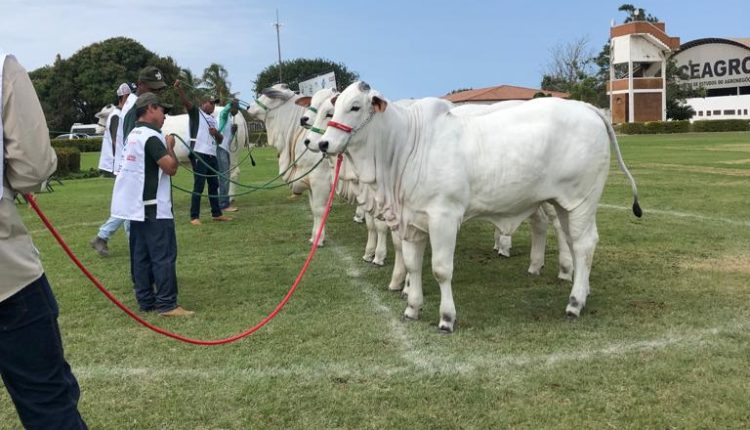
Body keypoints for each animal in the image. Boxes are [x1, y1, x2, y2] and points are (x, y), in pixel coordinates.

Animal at [247, 84, 334, 245]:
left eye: (269, 95)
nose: (248, 106)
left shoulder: (320, 179)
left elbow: (320, 209)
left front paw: (318, 240)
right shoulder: (308, 180)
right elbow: (313, 208)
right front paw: (313, 237)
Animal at [316, 82, 640, 334]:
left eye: (354, 107)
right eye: (336, 106)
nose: (323, 143)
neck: (406, 146)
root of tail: (588, 108)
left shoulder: (444, 217)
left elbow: (441, 269)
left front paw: (446, 318)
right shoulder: (412, 221)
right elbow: (412, 264)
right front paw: (412, 308)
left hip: (582, 200)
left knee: (584, 244)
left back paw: (574, 303)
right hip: (563, 204)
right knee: (574, 241)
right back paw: (580, 290)